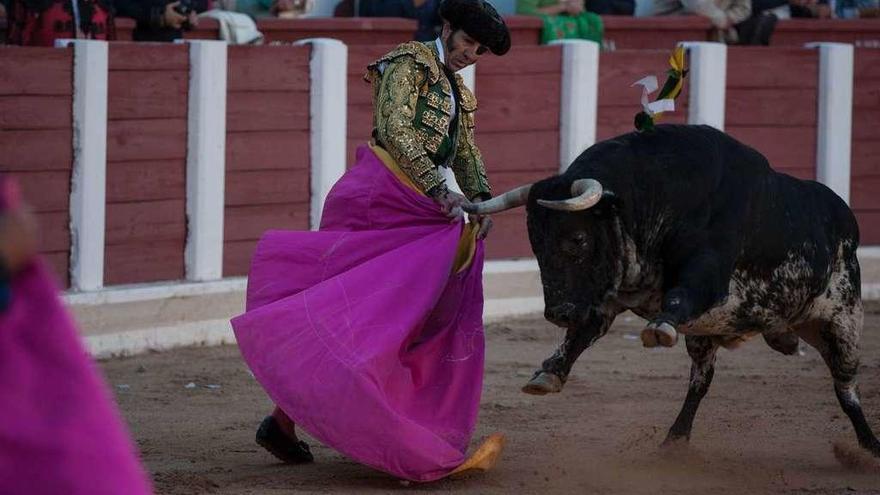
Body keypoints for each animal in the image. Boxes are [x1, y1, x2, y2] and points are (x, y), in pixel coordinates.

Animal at [464, 124, 876, 458]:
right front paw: (548, 373)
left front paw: (659, 328)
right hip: (710, 336)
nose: (557, 313)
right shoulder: (606, 295)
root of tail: (845, 216)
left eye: (577, 239)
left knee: (846, 388)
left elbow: (681, 295)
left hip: (843, 318)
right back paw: (675, 439)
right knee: (701, 382)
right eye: (535, 242)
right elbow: (581, 334)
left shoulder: (708, 274)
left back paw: (869, 448)